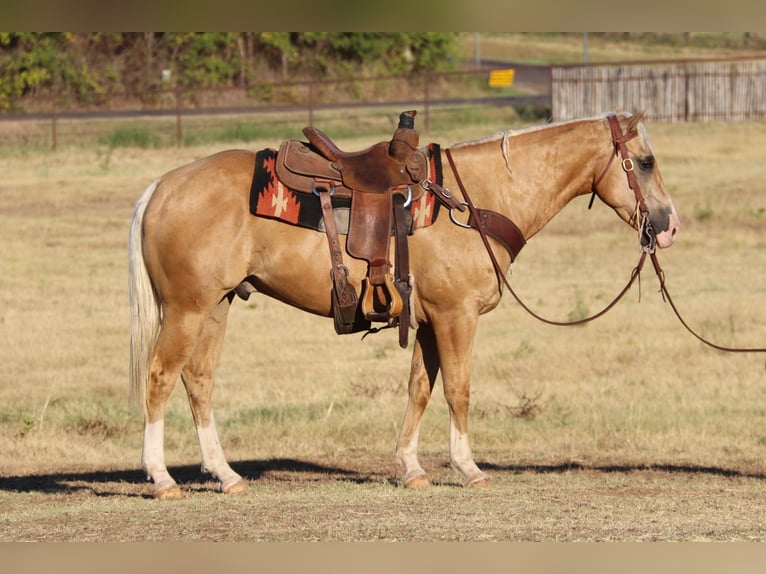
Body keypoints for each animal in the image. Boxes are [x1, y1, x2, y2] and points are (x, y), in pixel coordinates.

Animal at [129, 111, 680, 500]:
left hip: (217, 306)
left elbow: (419, 388)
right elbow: (458, 389)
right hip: (187, 310)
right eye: (646, 162)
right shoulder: (457, 316)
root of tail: (161, 186)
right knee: (160, 377)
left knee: (198, 381)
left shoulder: (430, 321)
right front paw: (468, 468)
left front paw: (412, 469)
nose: (669, 226)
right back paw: (162, 479)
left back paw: (226, 475)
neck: (473, 201)